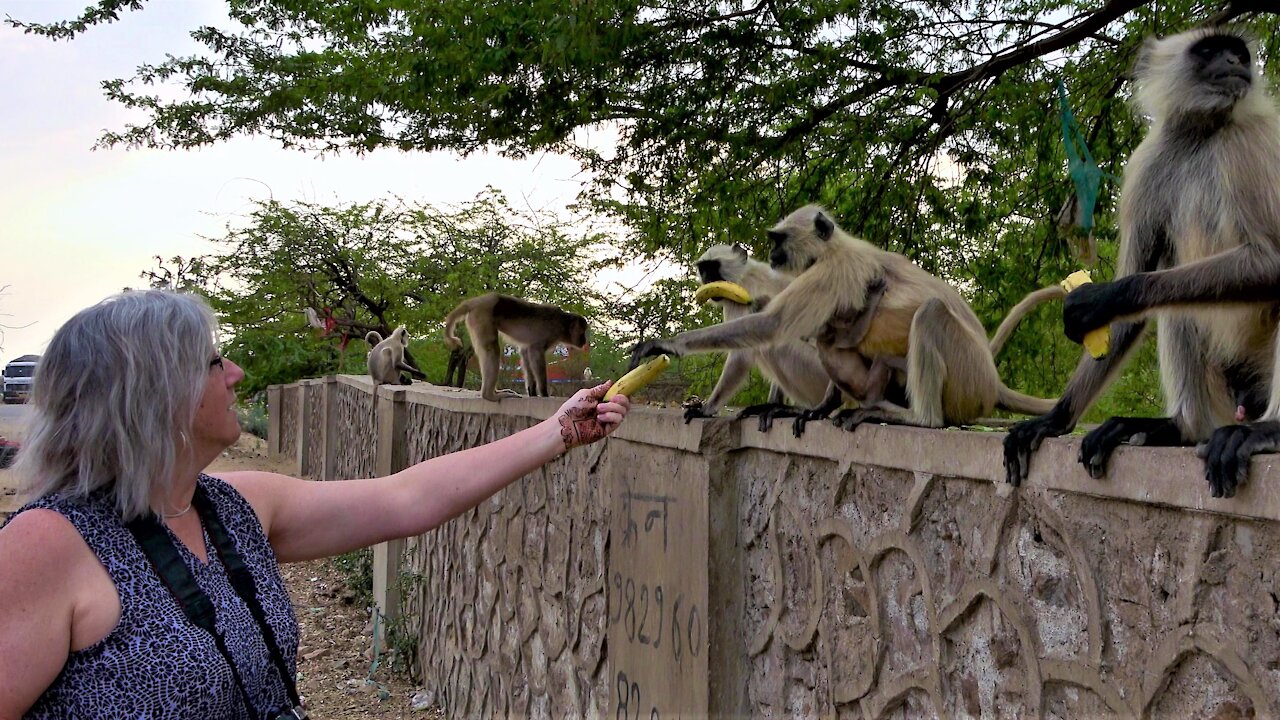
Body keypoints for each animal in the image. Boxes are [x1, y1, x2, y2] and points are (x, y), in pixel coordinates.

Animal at [445, 294, 588, 399]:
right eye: (582, 332)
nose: (584, 340)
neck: (562, 324)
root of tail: (478, 301)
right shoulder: (550, 332)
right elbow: (535, 352)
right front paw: (544, 392)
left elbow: (525, 351)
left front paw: (532, 391)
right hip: (482, 317)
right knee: (492, 348)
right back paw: (489, 395)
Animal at [686, 243, 834, 427]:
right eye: (703, 269)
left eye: (713, 267)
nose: (706, 278)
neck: (746, 273)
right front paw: (771, 405)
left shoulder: (740, 299)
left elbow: (741, 355)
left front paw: (706, 409)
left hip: (819, 372)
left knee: (772, 343)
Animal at [1003, 29, 1280, 499]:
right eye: (1210, 51)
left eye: (1238, 53)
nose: (1234, 62)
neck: (1201, 136)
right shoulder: (1149, 164)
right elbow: (1130, 310)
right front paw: (1055, 418)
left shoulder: (1251, 143)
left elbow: (1272, 263)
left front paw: (1106, 297)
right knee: (1178, 302)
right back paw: (1181, 428)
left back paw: (1269, 430)